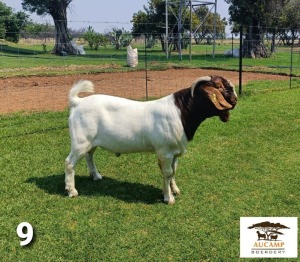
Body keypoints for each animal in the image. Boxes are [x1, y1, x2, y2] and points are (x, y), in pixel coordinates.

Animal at [65, 74, 237, 204]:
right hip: (80, 142)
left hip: (90, 142)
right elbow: (167, 173)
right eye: (221, 86)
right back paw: (71, 191)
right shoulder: (164, 152)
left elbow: (173, 171)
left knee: (89, 156)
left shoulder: (174, 152)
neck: (182, 112)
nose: (235, 100)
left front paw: (174, 190)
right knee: (69, 163)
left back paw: (96, 176)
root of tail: (78, 102)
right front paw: (168, 198)